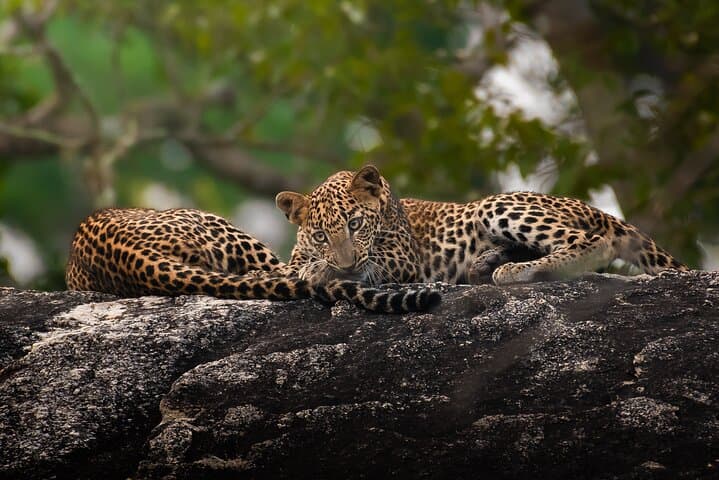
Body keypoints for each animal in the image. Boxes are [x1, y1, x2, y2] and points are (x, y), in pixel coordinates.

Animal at [275, 165, 687, 288]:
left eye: (356, 223)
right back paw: (486, 264)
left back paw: (515, 271)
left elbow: (366, 265)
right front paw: (318, 266)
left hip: (495, 206)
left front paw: (323, 271)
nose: (344, 262)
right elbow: (295, 266)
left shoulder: (401, 260)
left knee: (593, 242)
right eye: (320, 234)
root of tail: (584, 205)